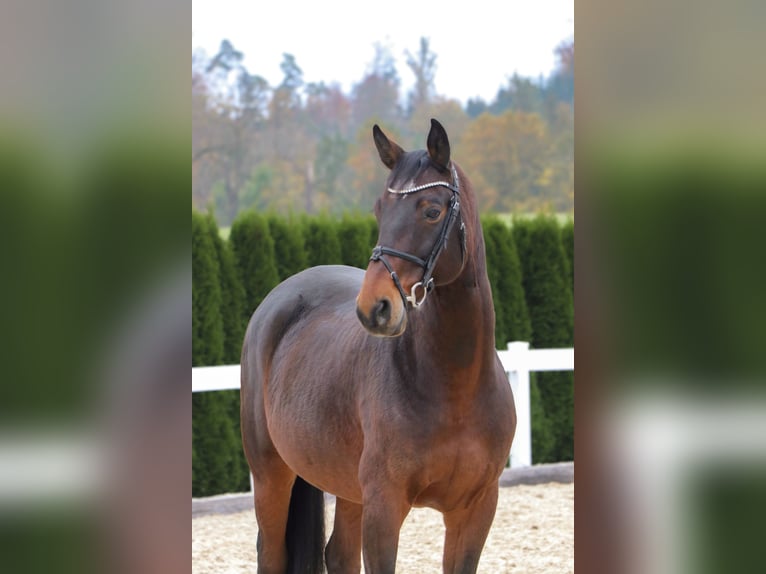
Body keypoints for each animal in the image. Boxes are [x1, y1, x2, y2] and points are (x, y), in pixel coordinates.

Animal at [240, 119, 516, 572]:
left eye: (431, 210)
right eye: (379, 210)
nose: (375, 308)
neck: (454, 386)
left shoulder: (475, 510)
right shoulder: (385, 508)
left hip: (347, 486)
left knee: (338, 552)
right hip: (270, 475)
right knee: (272, 551)